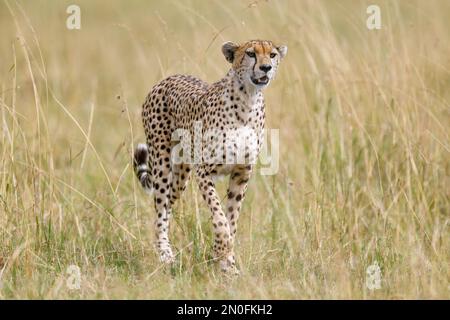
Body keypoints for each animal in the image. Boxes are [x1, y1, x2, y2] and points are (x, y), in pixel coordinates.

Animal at [134, 39, 288, 272]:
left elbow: (232, 218)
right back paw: (165, 255)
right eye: (251, 54)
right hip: (162, 163)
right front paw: (222, 251)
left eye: (272, 55)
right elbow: (219, 215)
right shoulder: (204, 171)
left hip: (181, 175)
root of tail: (167, 79)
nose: (265, 68)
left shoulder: (242, 173)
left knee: (168, 204)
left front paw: (227, 262)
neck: (248, 99)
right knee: (160, 210)